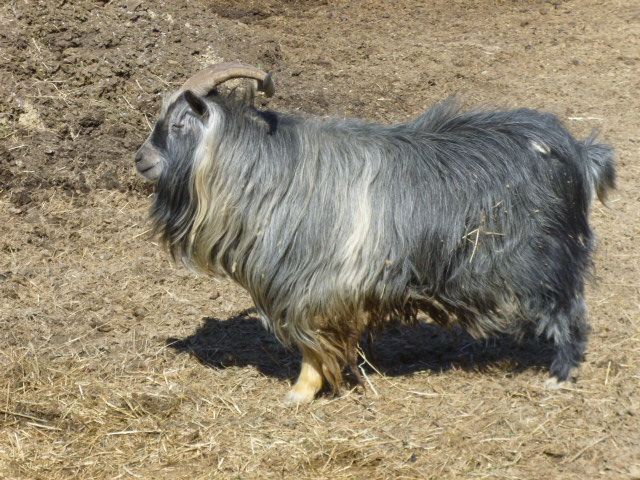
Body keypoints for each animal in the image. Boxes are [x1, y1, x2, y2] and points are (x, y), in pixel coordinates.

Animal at [135, 62, 615, 404]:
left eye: (178, 124)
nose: (140, 159)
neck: (266, 170)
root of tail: (579, 153)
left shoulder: (313, 286)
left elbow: (314, 345)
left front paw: (300, 393)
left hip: (544, 258)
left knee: (569, 309)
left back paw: (560, 376)